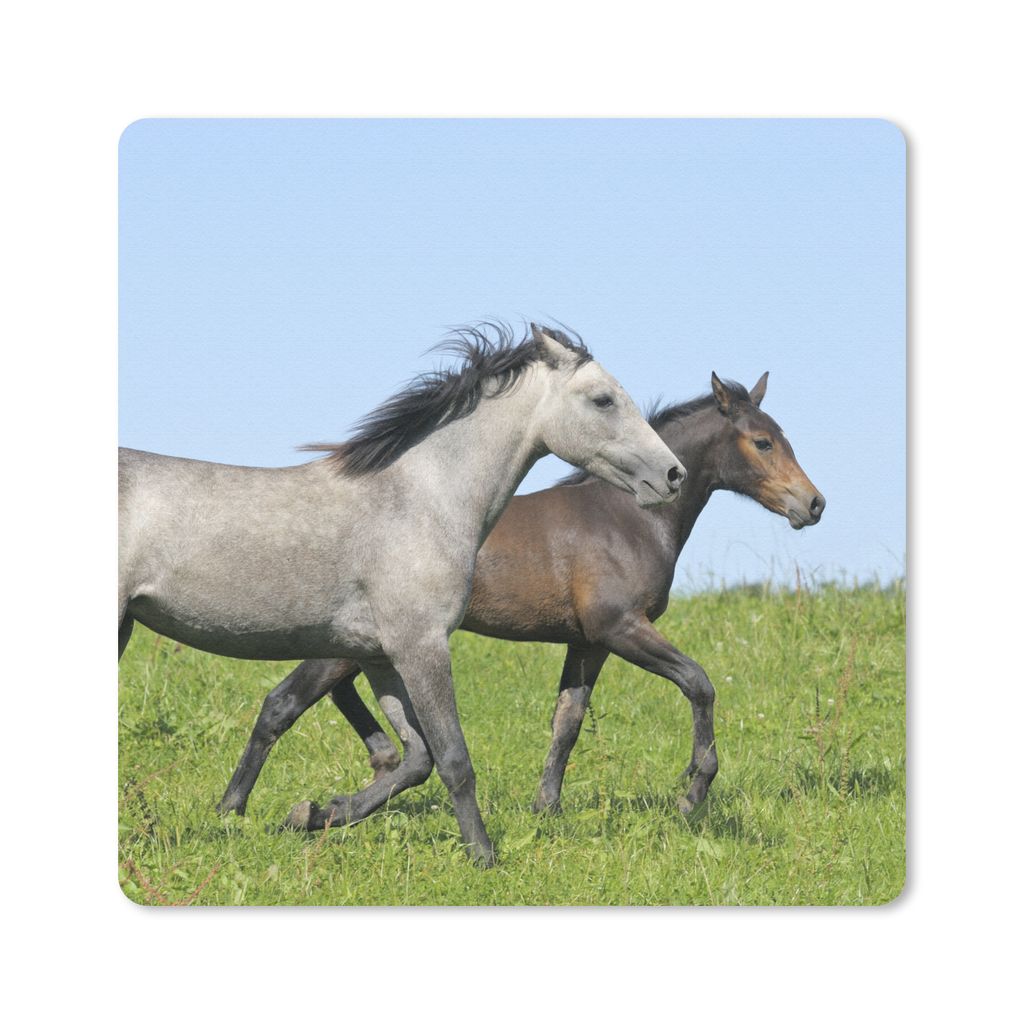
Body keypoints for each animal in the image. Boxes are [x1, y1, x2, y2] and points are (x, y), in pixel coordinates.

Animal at [119, 324, 685, 865]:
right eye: (603, 399)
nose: (673, 474)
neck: (420, 502)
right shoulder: (422, 646)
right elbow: (453, 758)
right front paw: (483, 856)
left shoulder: (380, 656)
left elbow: (415, 760)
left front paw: (315, 814)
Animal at [217, 371, 824, 825]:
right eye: (763, 442)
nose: (813, 504)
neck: (627, 518)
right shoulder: (620, 627)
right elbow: (699, 683)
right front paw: (693, 792)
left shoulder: (588, 643)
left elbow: (567, 721)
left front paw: (546, 808)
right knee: (283, 703)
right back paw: (244, 809)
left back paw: (361, 778)